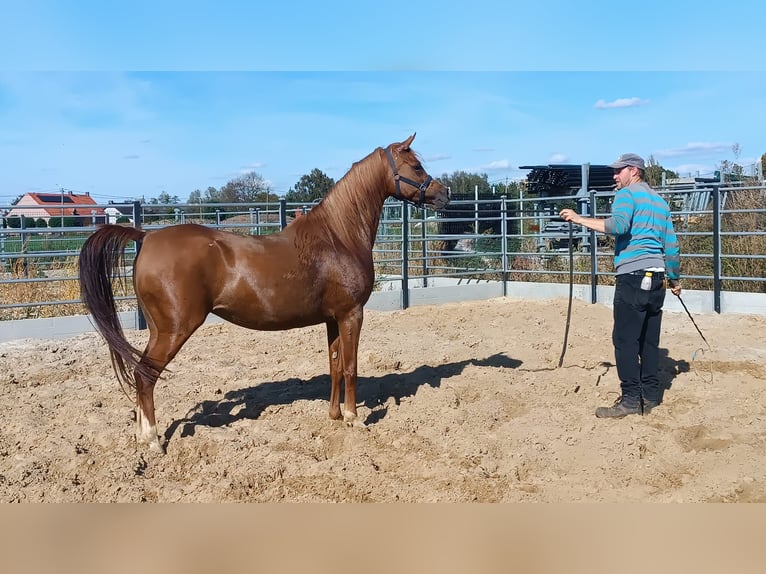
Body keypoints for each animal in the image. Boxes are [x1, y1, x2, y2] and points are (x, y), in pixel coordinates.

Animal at [78, 134, 450, 452]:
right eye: (416, 166)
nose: (445, 194)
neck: (338, 237)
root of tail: (147, 236)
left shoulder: (332, 318)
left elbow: (334, 365)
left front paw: (334, 416)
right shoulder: (351, 314)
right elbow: (351, 367)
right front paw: (354, 419)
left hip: (159, 329)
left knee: (141, 374)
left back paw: (143, 437)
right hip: (174, 330)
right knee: (145, 376)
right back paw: (153, 441)